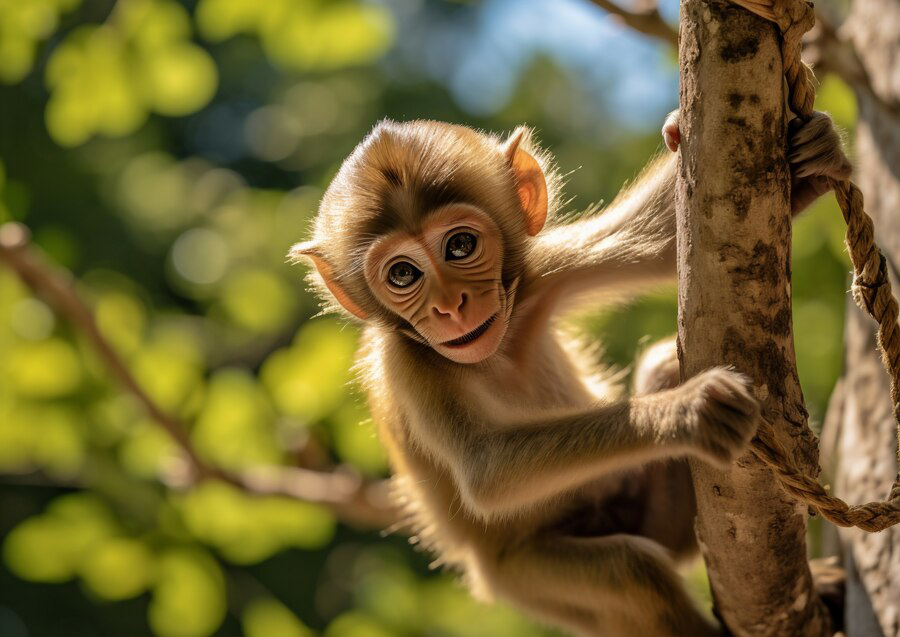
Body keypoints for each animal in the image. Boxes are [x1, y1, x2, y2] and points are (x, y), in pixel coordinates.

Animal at [292, 110, 856, 636]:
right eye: (403, 274)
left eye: (459, 246)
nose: (450, 306)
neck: (498, 349)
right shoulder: (409, 365)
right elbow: (485, 470)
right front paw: (686, 412)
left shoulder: (541, 272)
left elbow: (660, 248)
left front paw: (810, 153)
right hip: (524, 578)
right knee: (631, 574)